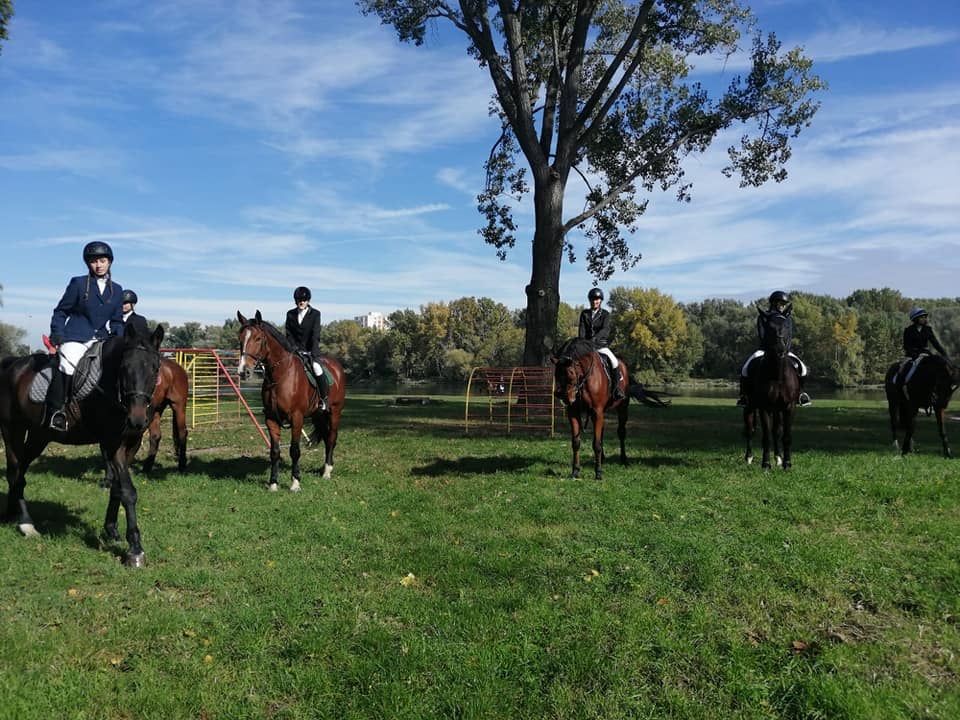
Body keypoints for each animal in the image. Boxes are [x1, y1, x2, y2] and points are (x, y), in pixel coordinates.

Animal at [0, 326, 164, 568]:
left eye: (155, 368)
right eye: (124, 368)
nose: (137, 420)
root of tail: (13, 364)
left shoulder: (132, 443)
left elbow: (117, 488)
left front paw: (112, 530)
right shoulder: (112, 444)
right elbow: (127, 491)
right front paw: (135, 549)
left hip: (39, 437)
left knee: (20, 470)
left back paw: (12, 513)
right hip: (13, 430)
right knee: (14, 471)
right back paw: (26, 524)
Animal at [238, 310, 346, 490]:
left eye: (258, 338)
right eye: (240, 339)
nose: (243, 372)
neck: (280, 375)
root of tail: (337, 367)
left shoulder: (296, 418)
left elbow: (294, 450)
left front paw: (295, 482)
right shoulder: (271, 419)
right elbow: (274, 451)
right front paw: (273, 483)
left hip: (335, 412)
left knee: (331, 438)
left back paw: (327, 471)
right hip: (318, 414)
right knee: (325, 436)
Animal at [552, 336, 672, 478]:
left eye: (570, 373)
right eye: (556, 374)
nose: (561, 395)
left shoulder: (597, 411)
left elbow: (596, 444)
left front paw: (598, 473)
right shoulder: (574, 412)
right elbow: (576, 442)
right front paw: (575, 471)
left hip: (622, 409)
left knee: (621, 433)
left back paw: (623, 459)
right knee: (601, 433)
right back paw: (602, 459)